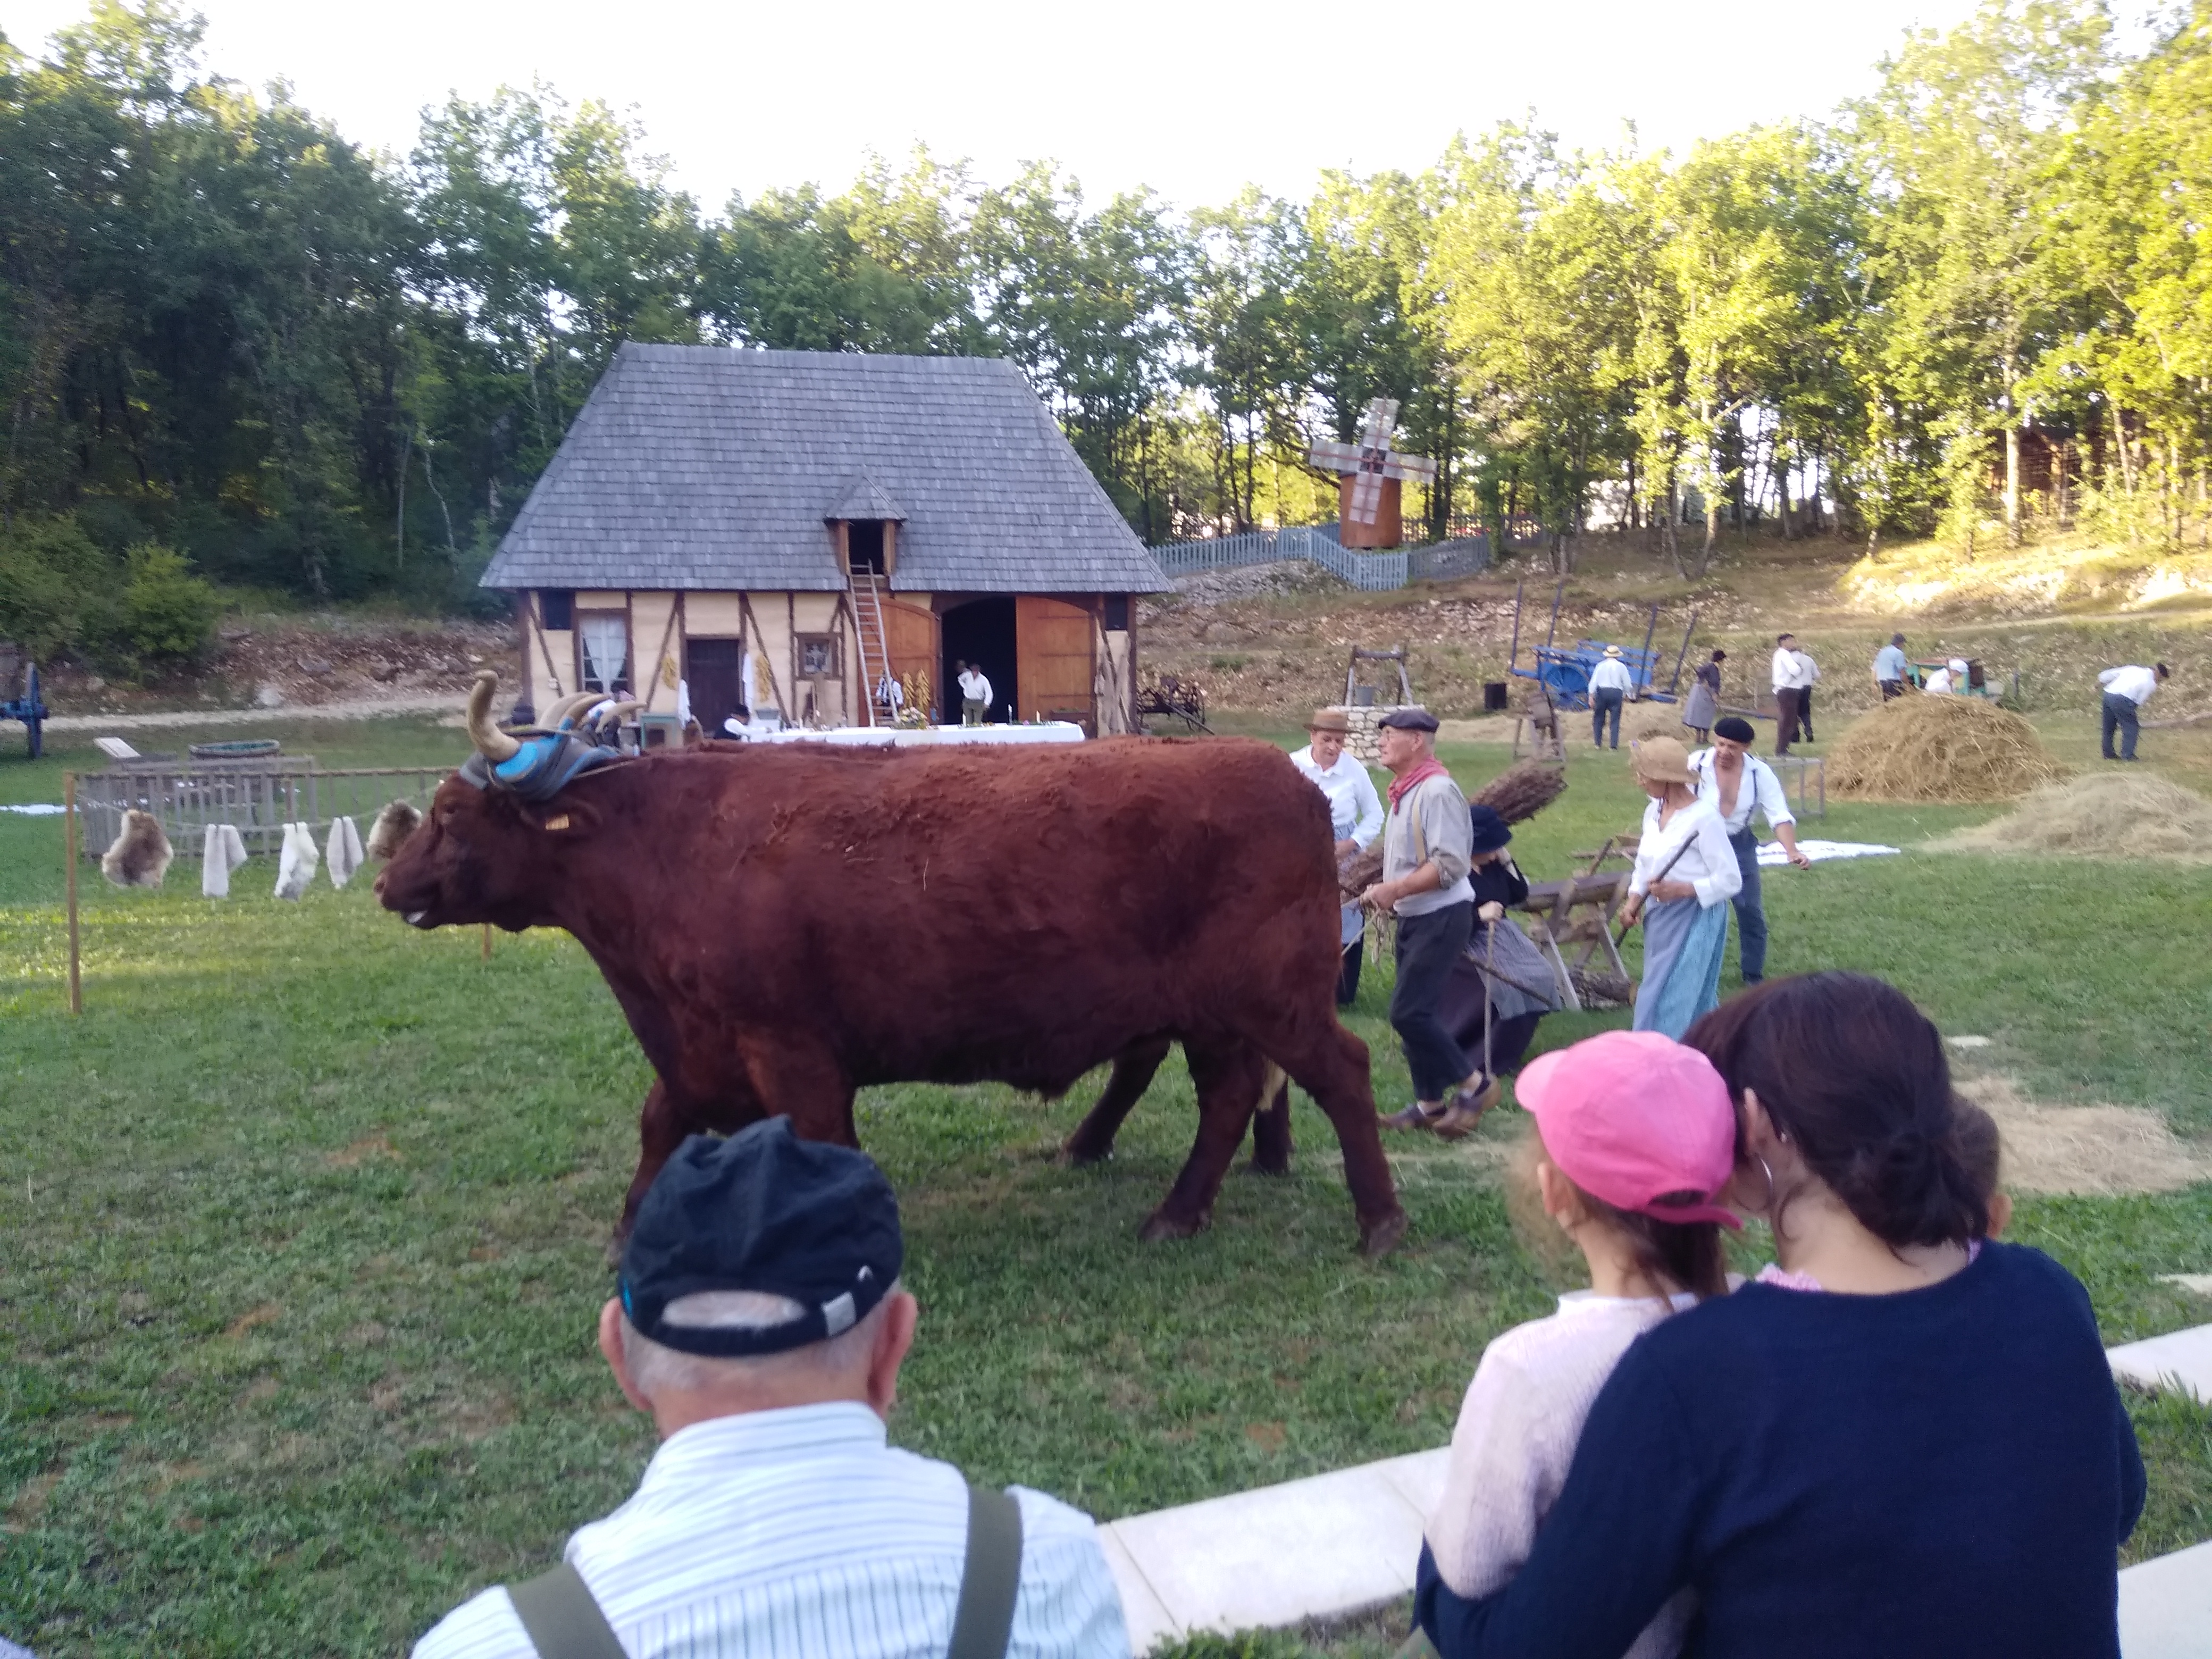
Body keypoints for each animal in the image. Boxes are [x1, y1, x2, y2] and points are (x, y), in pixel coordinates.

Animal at [373, 674, 1408, 1256]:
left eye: (454, 817)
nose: (389, 881)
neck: (676, 844)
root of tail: (1291, 779)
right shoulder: (702, 1044)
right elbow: (661, 1123)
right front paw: (633, 1225)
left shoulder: (790, 1047)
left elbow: (823, 1140)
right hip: (1210, 1015)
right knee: (1224, 1098)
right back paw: (1169, 1207)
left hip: (1273, 1000)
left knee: (1339, 1076)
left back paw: (1379, 1223)